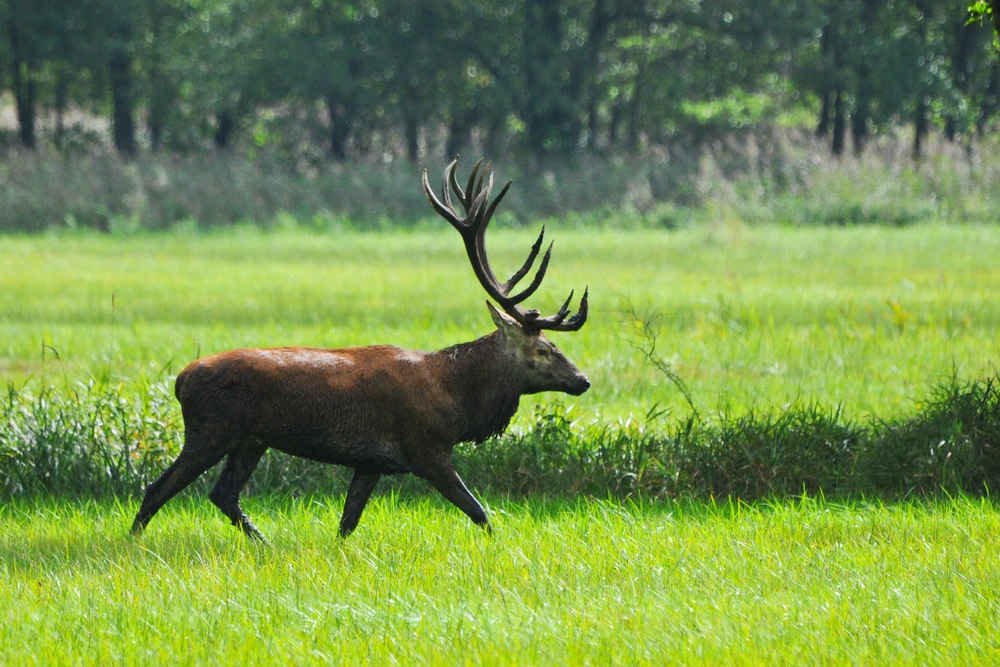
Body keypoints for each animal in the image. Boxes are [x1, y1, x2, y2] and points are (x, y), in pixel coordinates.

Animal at [130, 158, 589, 540]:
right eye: (544, 349)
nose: (583, 380)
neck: (457, 397)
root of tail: (180, 380)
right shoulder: (425, 447)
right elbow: (479, 511)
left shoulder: (371, 462)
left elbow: (347, 523)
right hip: (211, 430)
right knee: (157, 488)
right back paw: (136, 541)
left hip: (250, 439)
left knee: (222, 494)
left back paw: (264, 542)